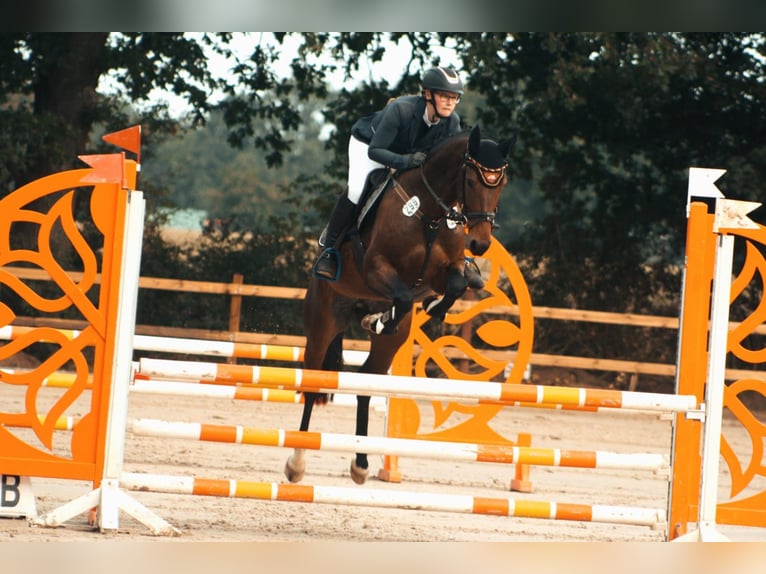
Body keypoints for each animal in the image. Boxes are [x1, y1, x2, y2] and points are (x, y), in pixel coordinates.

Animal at [286, 125, 516, 486]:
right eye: (471, 181)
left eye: (501, 182)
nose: (480, 244)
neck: (430, 215)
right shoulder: (377, 267)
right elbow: (405, 296)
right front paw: (387, 317)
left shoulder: (445, 270)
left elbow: (455, 284)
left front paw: (431, 308)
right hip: (323, 319)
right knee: (313, 382)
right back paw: (297, 463)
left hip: (387, 344)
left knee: (367, 382)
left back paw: (361, 464)